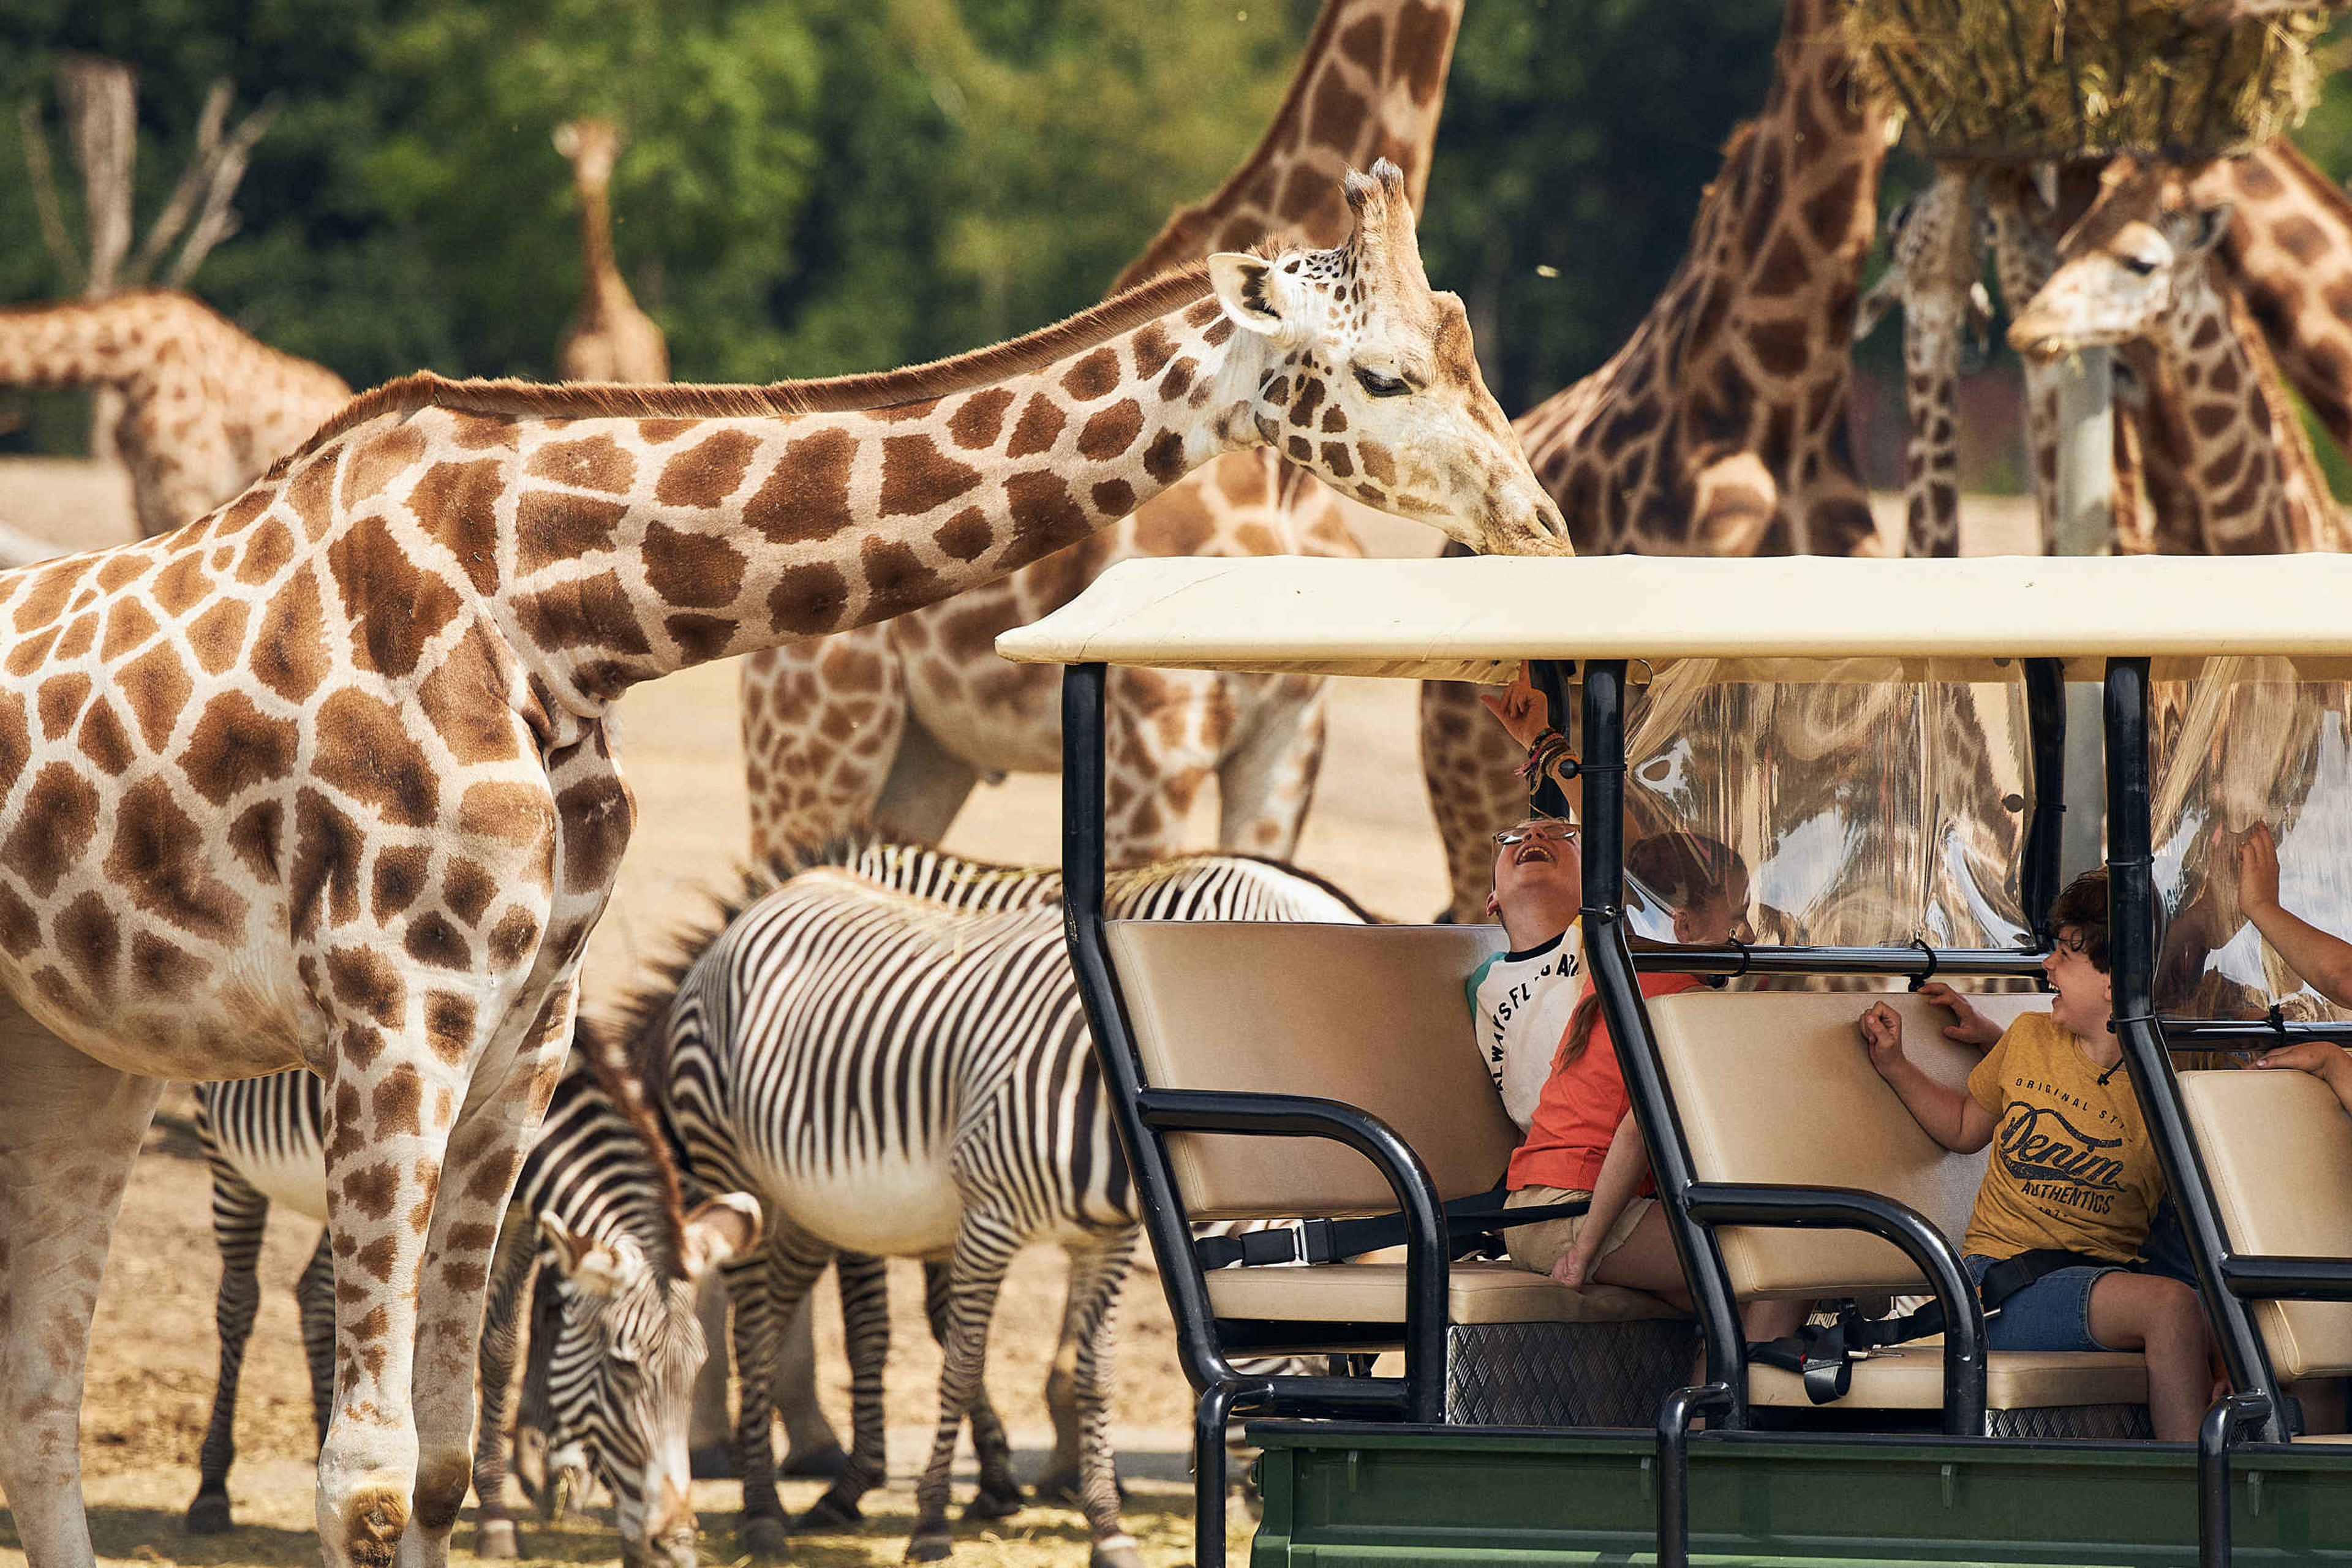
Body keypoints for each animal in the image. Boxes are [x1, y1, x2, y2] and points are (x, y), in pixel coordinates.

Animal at [601, 842, 1370, 1568]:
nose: (1333, 1486)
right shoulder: (961, 1216)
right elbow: (947, 1353)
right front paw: (931, 1517)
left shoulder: (1098, 1238)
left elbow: (1091, 1376)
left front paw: (1102, 1527)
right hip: (755, 1179)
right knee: (756, 1334)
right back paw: (763, 1514)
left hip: (794, 1203)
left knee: (770, 1317)